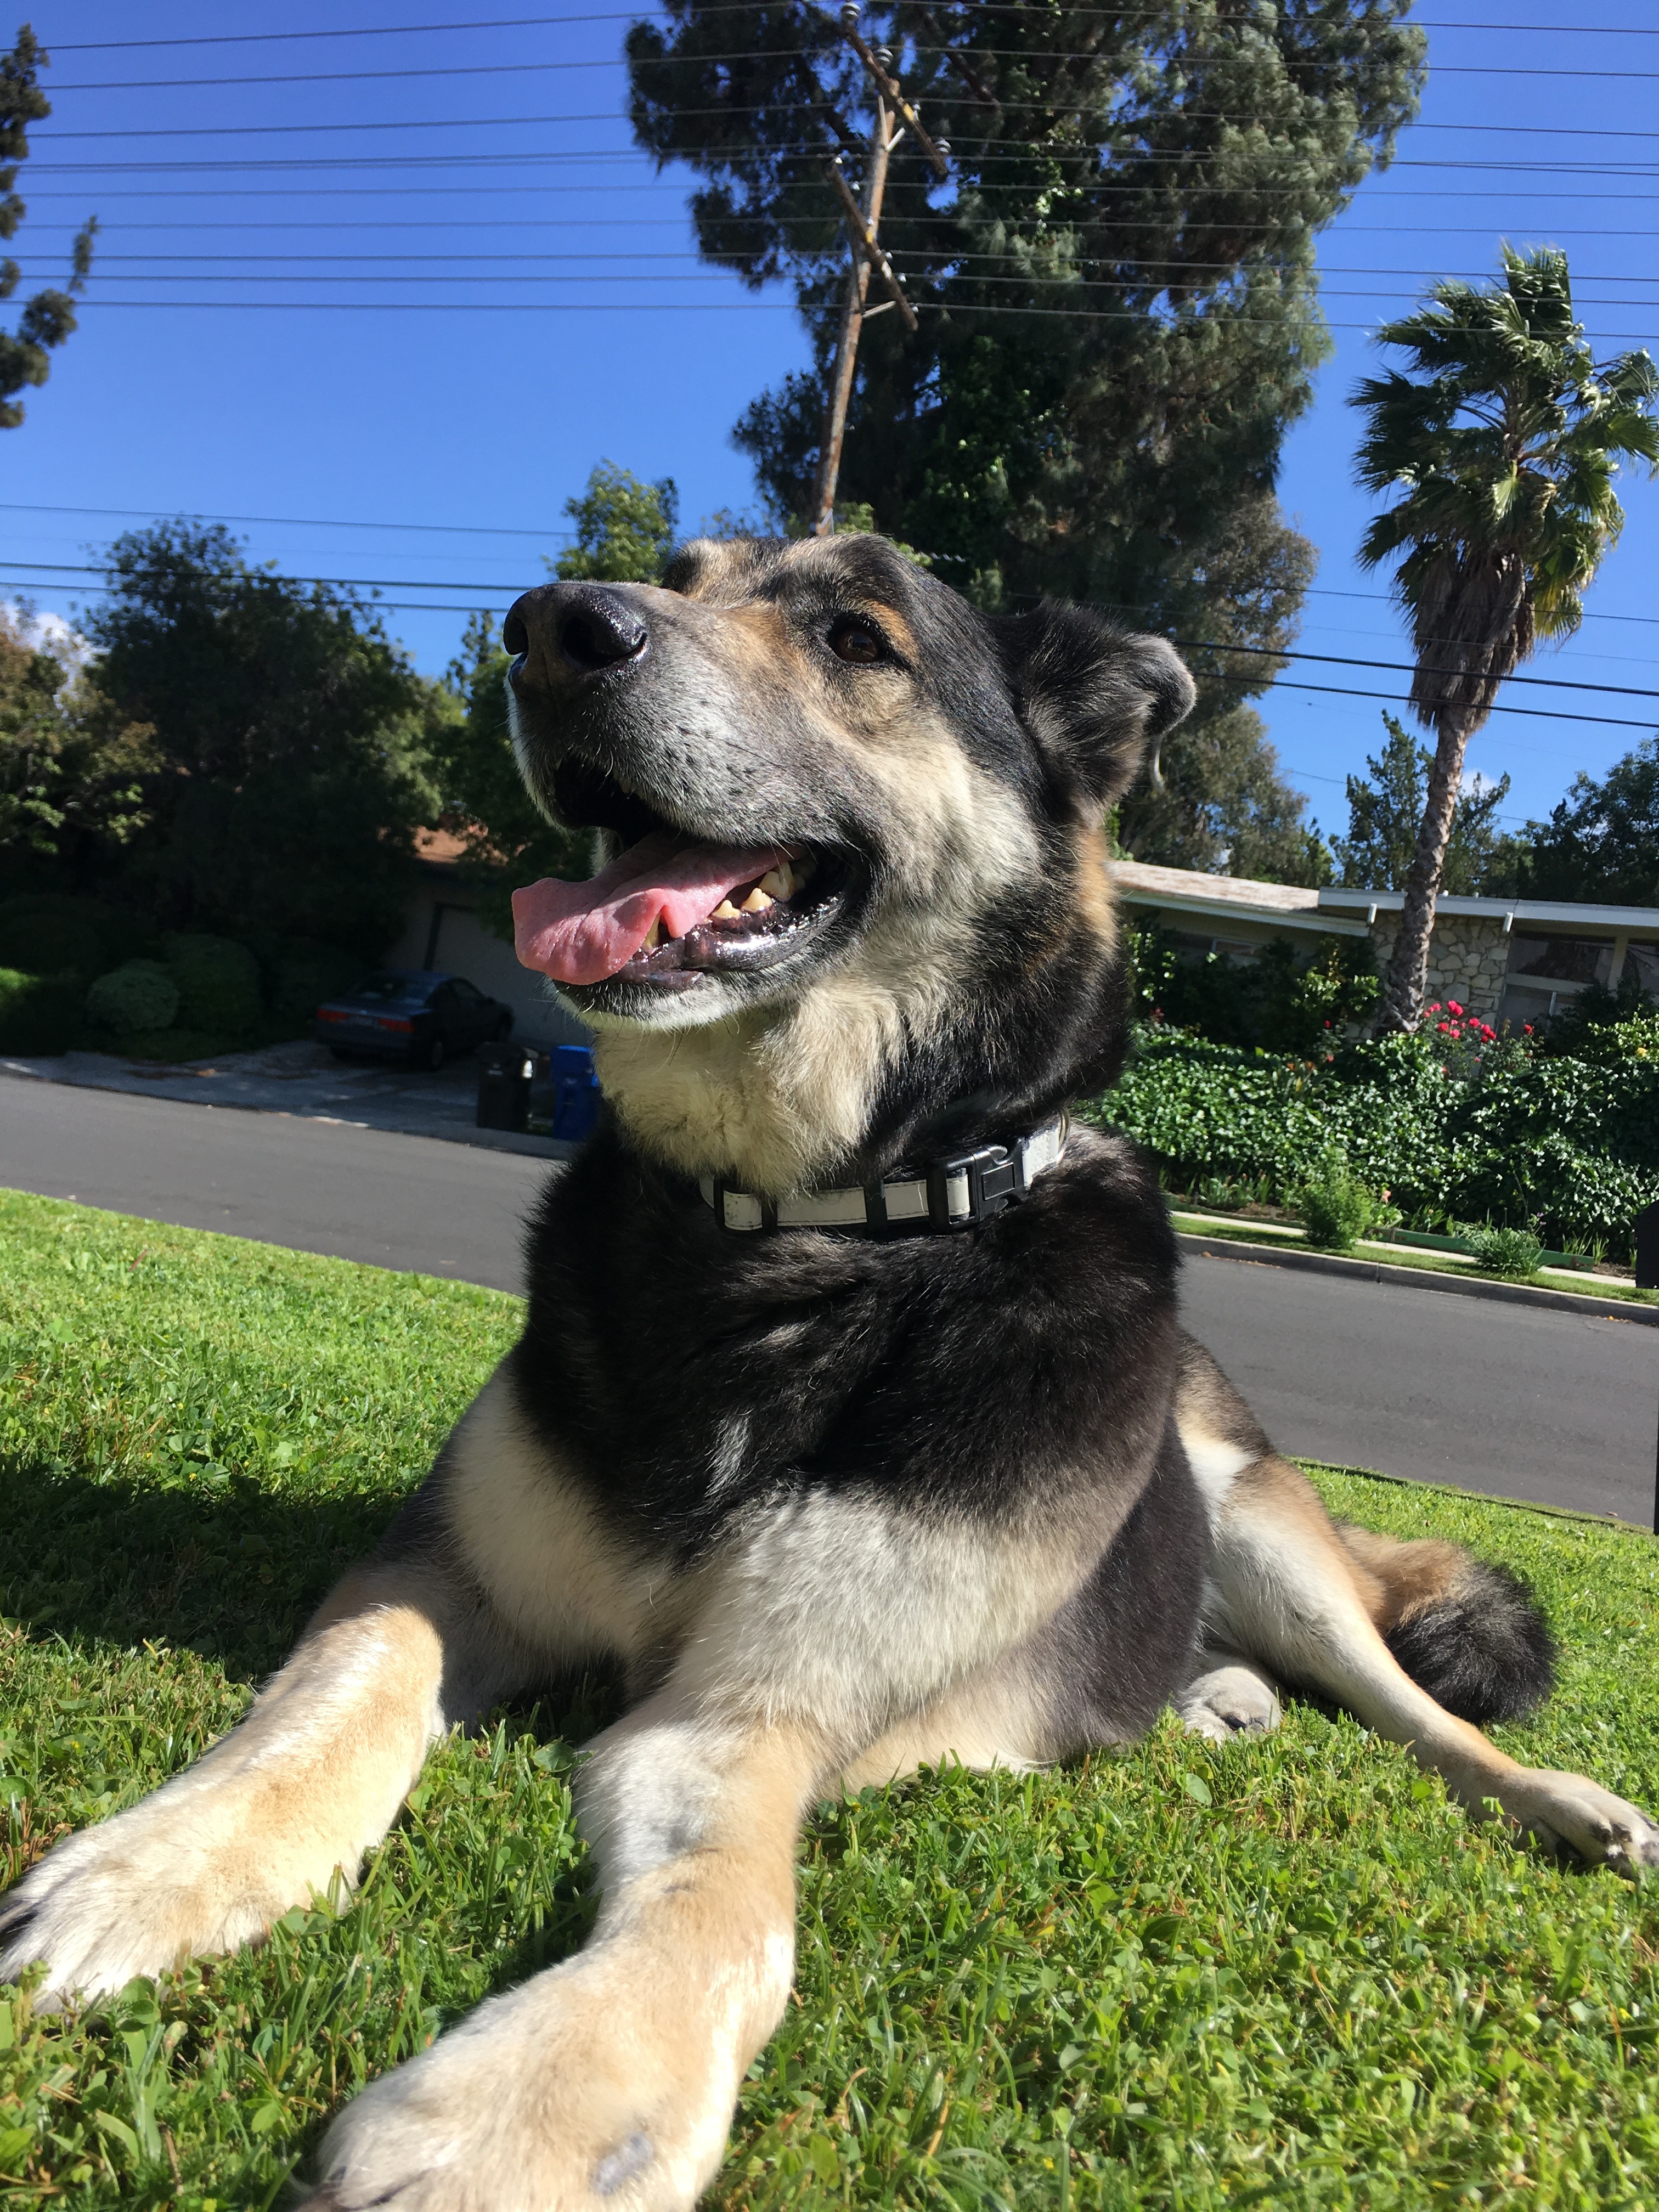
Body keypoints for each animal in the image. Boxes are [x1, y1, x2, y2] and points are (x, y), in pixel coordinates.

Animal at [3, 539, 1659, 2212]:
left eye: (859, 637)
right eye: (682, 575)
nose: (550, 631)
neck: (809, 1234)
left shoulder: (749, 1720)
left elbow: (725, 1915)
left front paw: (530, 2111)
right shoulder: (437, 1572)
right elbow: (338, 1689)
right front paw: (159, 1865)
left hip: (1257, 1515)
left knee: (1409, 1705)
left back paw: (1559, 1800)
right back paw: (1215, 1699)